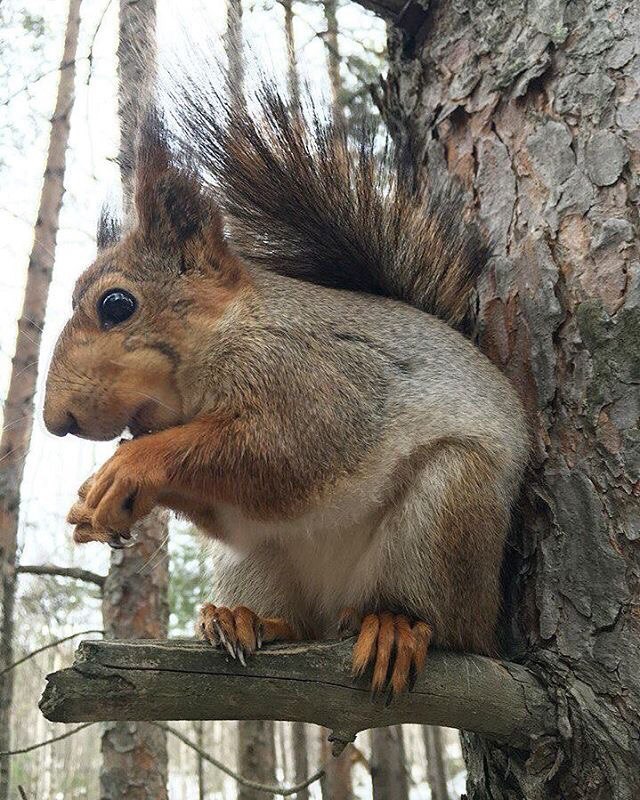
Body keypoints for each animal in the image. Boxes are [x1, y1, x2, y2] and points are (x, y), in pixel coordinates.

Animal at [42, 79, 528, 692]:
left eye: (116, 305)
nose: (55, 421)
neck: (229, 334)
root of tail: (337, 608)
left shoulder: (321, 378)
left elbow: (281, 453)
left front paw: (124, 468)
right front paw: (89, 506)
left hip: (448, 509)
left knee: (442, 622)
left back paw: (394, 626)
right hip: (256, 561)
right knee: (293, 620)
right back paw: (243, 618)